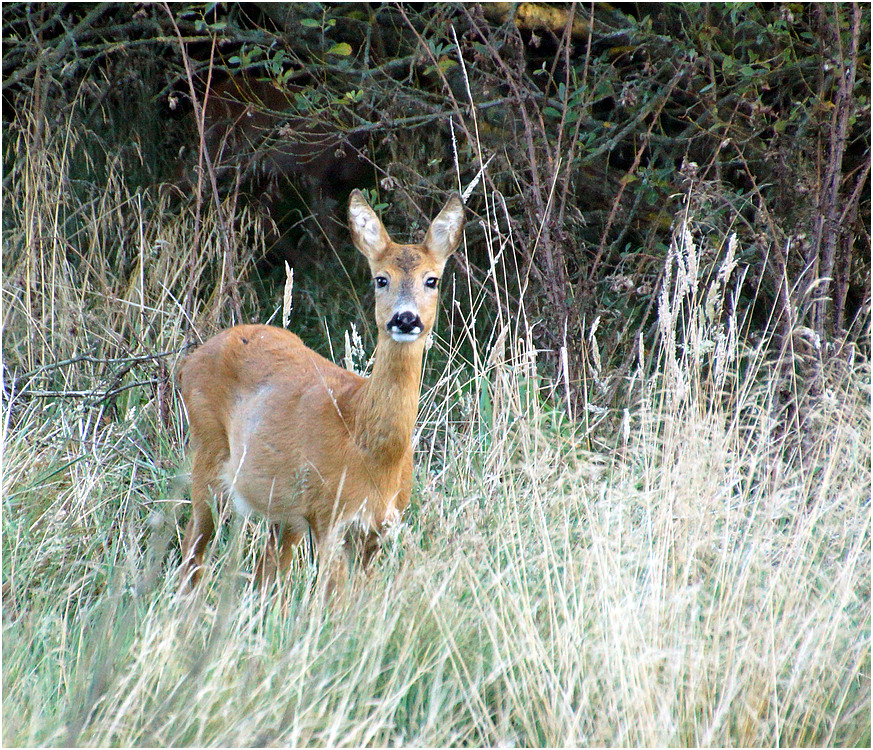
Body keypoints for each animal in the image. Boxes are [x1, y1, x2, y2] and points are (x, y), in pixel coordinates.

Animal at [177, 191, 464, 592]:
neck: (369, 449)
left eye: (432, 280)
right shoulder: (329, 515)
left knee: (267, 571)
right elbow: (335, 597)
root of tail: (189, 361)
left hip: (284, 511)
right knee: (194, 547)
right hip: (207, 454)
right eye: (381, 279)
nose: (406, 319)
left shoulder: (378, 528)